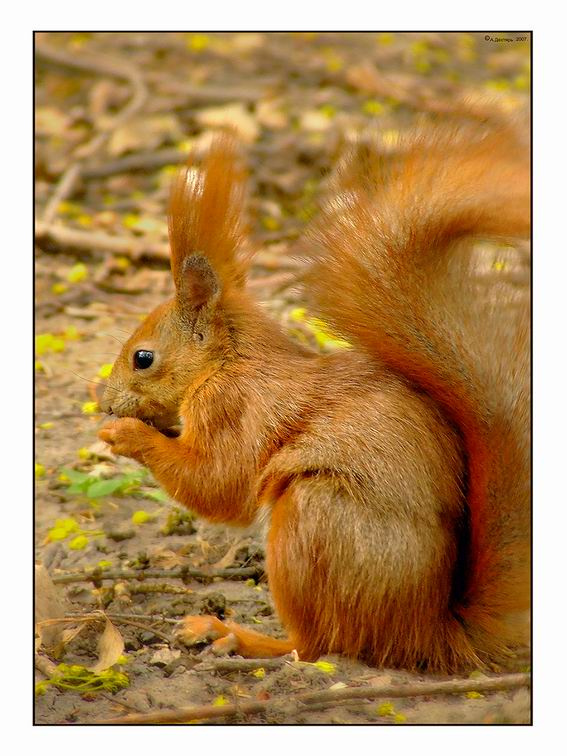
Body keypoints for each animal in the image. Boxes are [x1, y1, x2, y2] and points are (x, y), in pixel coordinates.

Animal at [99, 122, 530, 672]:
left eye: (143, 358)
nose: (107, 403)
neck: (228, 362)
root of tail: (428, 633)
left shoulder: (233, 408)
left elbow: (219, 483)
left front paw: (126, 434)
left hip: (313, 521)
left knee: (317, 643)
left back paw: (235, 635)